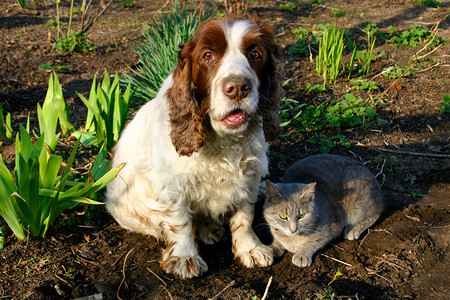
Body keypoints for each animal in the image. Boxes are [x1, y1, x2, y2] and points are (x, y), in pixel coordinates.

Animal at [105, 15, 282, 278]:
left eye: (255, 54)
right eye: (207, 55)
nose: (238, 88)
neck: (222, 140)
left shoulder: (249, 173)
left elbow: (245, 216)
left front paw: (251, 249)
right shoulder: (172, 183)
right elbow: (180, 221)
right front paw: (184, 258)